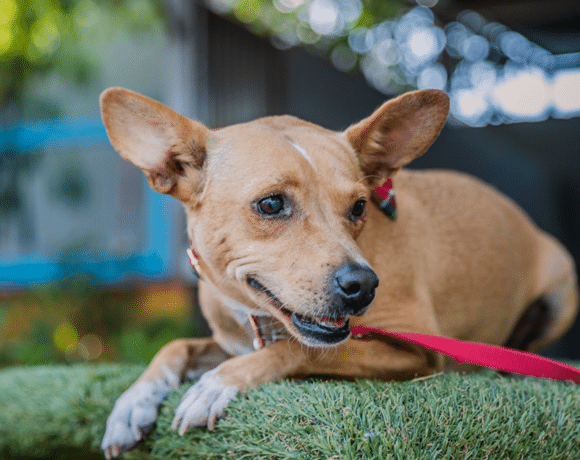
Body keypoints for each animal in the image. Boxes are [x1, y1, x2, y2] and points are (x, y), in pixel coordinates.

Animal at [98, 88, 576, 458]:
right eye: (271, 203)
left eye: (360, 206)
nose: (363, 286)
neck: (258, 320)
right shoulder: (232, 341)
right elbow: (176, 346)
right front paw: (133, 403)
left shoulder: (416, 351)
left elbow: (303, 352)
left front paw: (218, 384)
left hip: (562, 289)